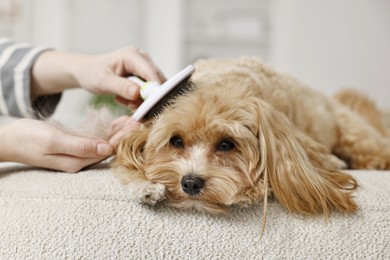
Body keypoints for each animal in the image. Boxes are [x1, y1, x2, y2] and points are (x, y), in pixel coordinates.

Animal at [110, 57, 390, 217]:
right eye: (176, 141)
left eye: (226, 144)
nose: (190, 183)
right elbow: (125, 166)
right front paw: (146, 187)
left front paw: (250, 190)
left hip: (354, 134)